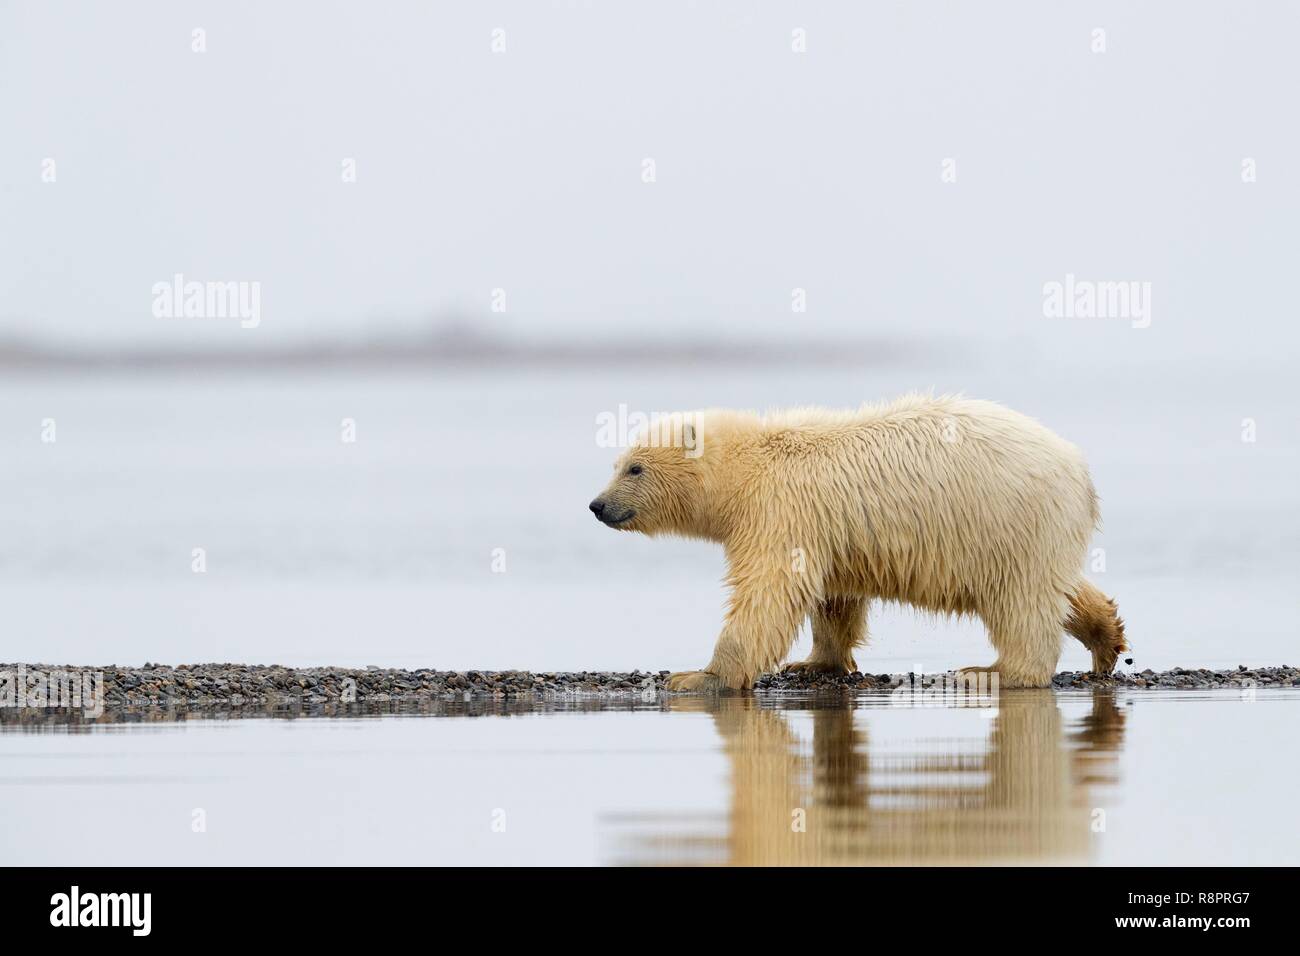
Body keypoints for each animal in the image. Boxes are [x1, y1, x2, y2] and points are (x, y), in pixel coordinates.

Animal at [590, 392, 1128, 691]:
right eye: (616, 464)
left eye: (634, 467)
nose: (597, 505)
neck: (750, 468)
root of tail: (1081, 472)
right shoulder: (827, 528)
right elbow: (833, 598)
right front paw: (813, 663)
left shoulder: (780, 511)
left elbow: (768, 593)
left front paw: (699, 677)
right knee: (1059, 587)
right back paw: (1106, 638)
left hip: (1010, 519)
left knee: (1021, 600)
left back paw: (989, 671)